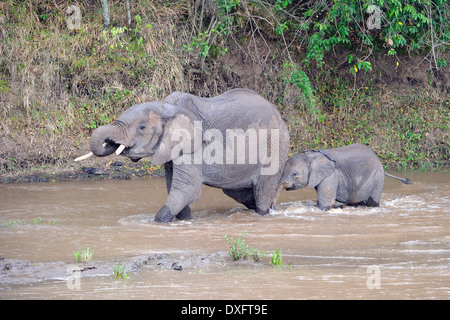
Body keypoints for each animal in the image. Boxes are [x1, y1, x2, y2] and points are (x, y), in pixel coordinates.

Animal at [75, 87, 290, 222]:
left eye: (142, 127)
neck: (166, 108)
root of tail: (280, 116)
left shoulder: (193, 147)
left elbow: (187, 189)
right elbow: (173, 187)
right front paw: (185, 221)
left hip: (275, 147)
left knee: (262, 194)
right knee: (241, 193)